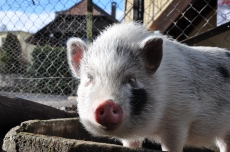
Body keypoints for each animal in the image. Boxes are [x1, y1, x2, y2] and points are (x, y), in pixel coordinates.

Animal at [67, 21, 230, 152]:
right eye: (89, 78)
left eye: (131, 79)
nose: (107, 103)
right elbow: (131, 143)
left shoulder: (179, 118)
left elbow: (172, 145)